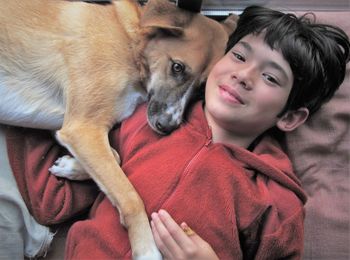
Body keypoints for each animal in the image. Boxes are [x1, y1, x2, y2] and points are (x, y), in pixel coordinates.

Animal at [0, 0, 238, 258]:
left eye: (201, 88)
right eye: (177, 67)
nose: (168, 127)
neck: (131, 44)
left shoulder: (73, 129)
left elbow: (116, 156)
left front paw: (69, 167)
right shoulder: (82, 129)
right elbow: (131, 196)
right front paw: (147, 251)